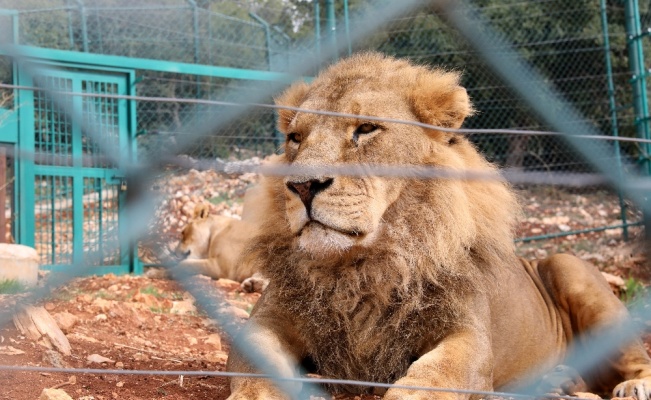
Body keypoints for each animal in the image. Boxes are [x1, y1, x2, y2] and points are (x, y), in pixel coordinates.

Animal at [225, 52, 651, 396]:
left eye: (366, 129)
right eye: (295, 138)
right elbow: (255, 370)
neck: (363, 268)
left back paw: (631, 385)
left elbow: (438, 375)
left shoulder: (468, 335)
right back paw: (557, 383)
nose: (301, 186)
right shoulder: (266, 320)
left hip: (570, 268)